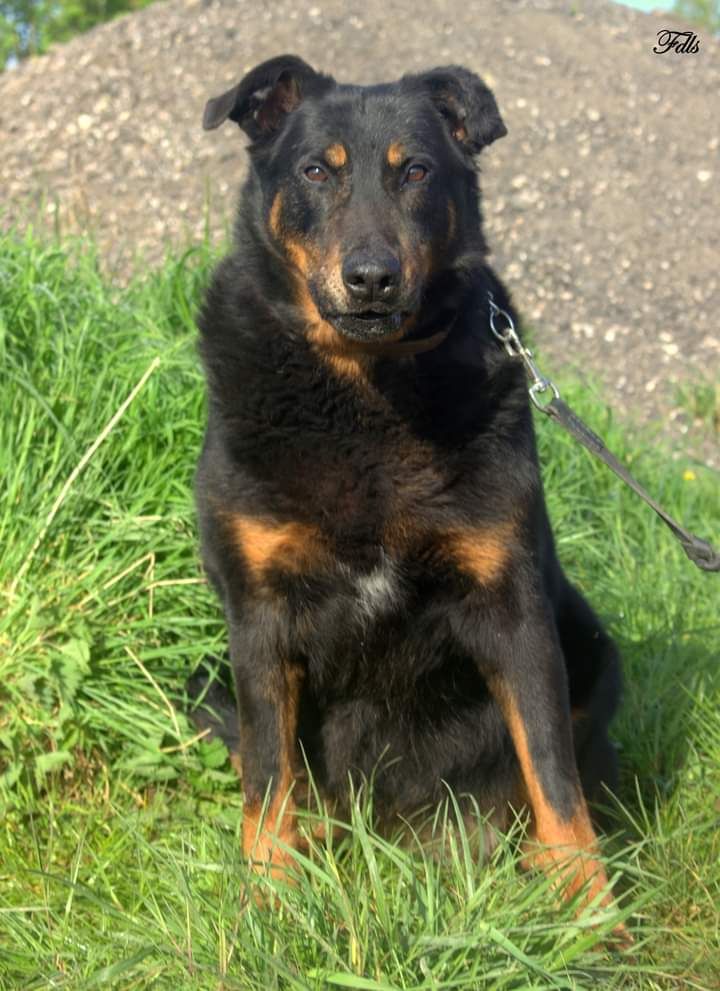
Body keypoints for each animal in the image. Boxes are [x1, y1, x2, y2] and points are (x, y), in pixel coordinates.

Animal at [193, 54, 624, 928]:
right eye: (316, 170)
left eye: (417, 170)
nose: (371, 278)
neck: (365, 392)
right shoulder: (259, 616)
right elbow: (268, 778)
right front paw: (270, 903)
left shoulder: (514, 610)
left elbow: (555, 775)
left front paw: (592, 916)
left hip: (595, 647)